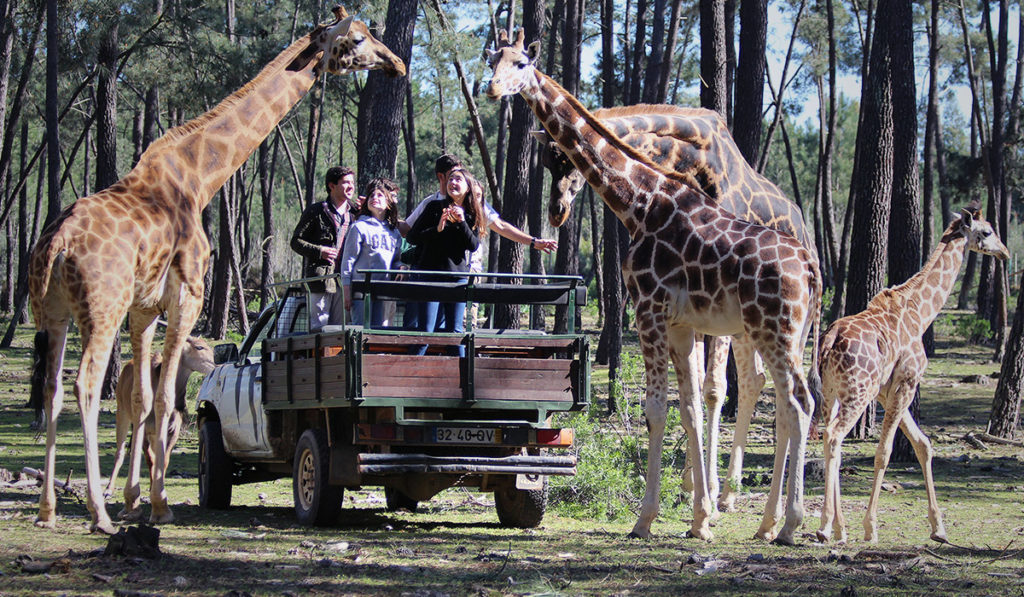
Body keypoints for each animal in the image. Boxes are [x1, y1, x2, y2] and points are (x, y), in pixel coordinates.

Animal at [27, 7, 403, 536]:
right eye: (356, 40)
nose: (397, 63)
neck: (199, 180)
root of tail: (56, 243)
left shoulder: (144, 309)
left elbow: (144, 399)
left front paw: (135, 501)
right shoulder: (186, 295)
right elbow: (166, 400)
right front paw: (157, 505)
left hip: (54, 312)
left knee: (53, 389)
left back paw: (48, 510)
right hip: (100, 309)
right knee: (84, 385)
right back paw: (96, 514)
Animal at [536, 104, 815, 516]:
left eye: (568, 162)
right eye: (545, 161)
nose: (556, 213)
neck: (690, 163)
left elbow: (712, 389)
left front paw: (706, 489)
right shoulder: (689, 311)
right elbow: (693, 391)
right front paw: (691, 486)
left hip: (769, 321)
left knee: (768, 387)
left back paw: (744, 495)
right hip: (748, 324)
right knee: (759, 381)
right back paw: (735, 494)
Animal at [815, 206, 1007, 544]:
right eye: (986, 232)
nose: (1005, 252)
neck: (921, 312)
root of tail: (830, 338)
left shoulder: (887, 390)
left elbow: (923, 444)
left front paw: (939, 528)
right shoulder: (908, 381)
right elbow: (885, 451)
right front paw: (871, 527)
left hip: (832, 393)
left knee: (829, 439)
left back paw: (838, 527)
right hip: (857, 392)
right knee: (835, 436)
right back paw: (826, 526)